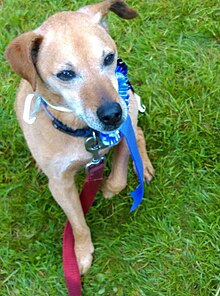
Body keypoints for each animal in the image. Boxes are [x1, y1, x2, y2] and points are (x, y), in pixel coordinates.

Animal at [4, 0, 154, 276]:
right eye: (65, 74)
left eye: (108, 58)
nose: (113, 114)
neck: (84, 132)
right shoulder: (60, 185)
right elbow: (78, 223)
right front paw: (81, 253)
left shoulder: (123, 134)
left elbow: (118, 178)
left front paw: (107, 189)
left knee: (139, 134)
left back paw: (145, 167)